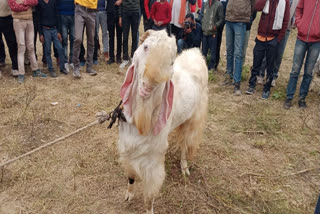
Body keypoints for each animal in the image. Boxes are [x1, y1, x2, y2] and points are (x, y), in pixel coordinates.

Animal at [117, 30, 208, 214]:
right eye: (145, 46)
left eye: (171, 61)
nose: (147, 88)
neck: (140, 120)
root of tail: (195, 53)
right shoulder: (126, 148)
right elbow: (130, 176)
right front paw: (129, 195)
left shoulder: (153, 163)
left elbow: (149, 197)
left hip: (192, 120)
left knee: (184, 145)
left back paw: (184, 168)